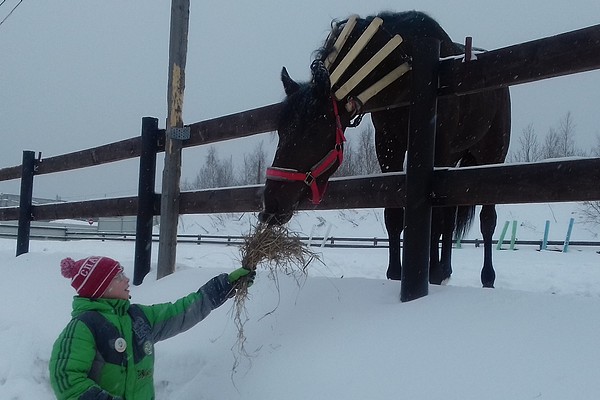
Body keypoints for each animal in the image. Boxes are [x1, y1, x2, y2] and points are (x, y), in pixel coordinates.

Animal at [258, 10, 510, 288]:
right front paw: (395, 273)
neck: (403, 61)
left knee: (487, 219)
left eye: (315, 132)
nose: (270, 206)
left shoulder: (439, 148)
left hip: (492, 155)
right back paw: (445, 270)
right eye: (281, 130)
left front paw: (429, 273)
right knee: (450, 215)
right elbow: (394, 212)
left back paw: (485, 277)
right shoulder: (389, 147)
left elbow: (434, 217)